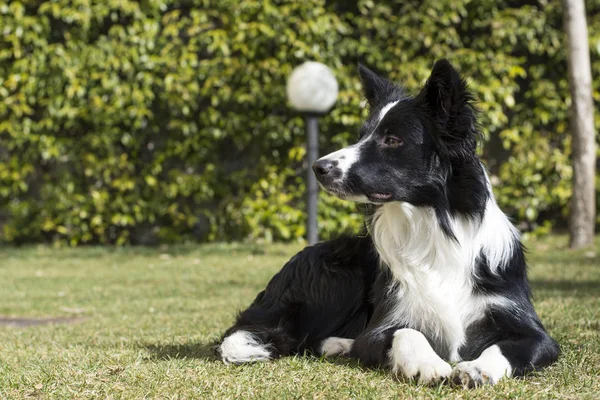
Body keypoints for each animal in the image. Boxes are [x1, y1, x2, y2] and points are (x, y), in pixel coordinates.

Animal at [218, 60, 560, 388]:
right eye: (361, 137)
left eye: (393, 140)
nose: (318, 167)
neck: (431, 226)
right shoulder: (381, 326)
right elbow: (407, 332)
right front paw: (428, 365)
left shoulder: (534, 332)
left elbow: (506, 347)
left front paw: (477, 369)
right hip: (339, 270)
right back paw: (341, 345)